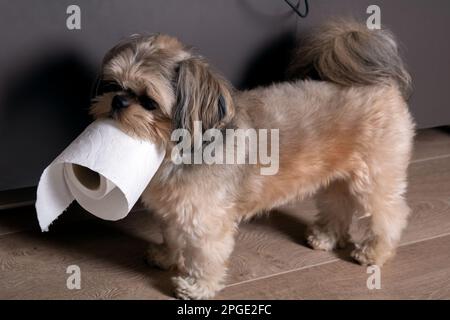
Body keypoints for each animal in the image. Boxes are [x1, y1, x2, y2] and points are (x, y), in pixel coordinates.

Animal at [90, 20, 414, 300]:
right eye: (112, 85)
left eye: (149, 102)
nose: (118, 101)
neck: (174, 152)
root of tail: (380, 82)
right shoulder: (175, 211)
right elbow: (172, 236)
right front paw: (165, 257)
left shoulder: (206, 221)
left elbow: (204, 257)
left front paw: (197, 287)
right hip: (339, 176)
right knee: (339, 204)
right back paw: (326, 236)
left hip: (376, 177)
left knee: (390, 215)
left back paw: (374, 252)